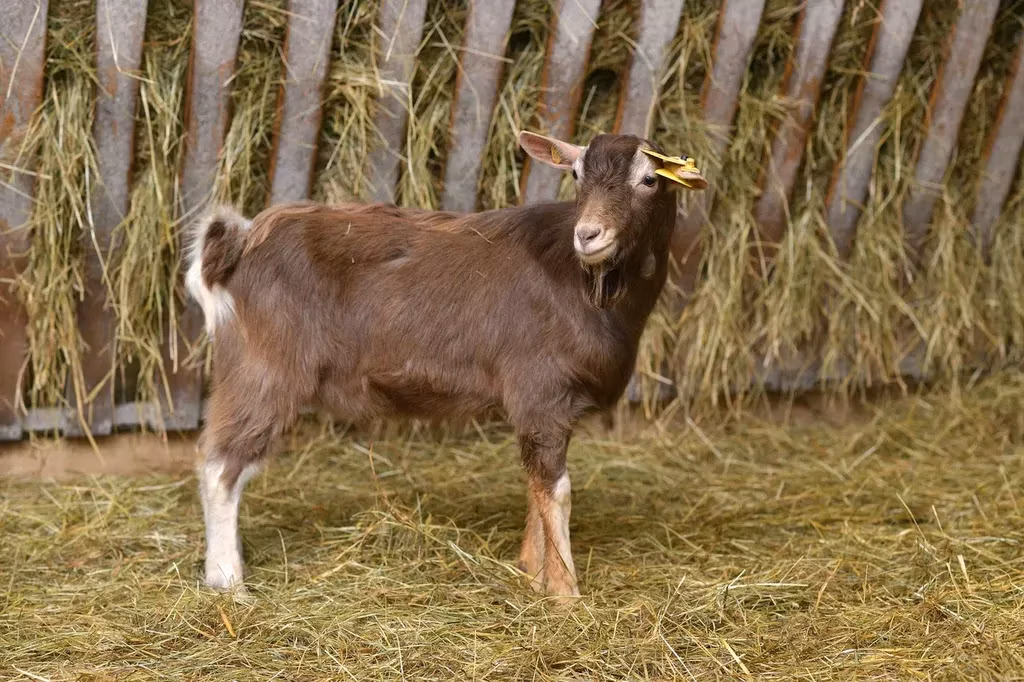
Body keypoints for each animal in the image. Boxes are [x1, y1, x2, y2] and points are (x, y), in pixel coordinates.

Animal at [186, 130, 708, 601]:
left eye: (649, 180)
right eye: (576, 174)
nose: (588, 235)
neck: (585, 281)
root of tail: (238, 241)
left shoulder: (544, 410)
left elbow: (535, 485)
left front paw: (530, 569)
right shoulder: (542, 394)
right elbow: (556, 491)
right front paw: (565, 594)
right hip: (265, 370)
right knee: (220, 466)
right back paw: (229, 583)